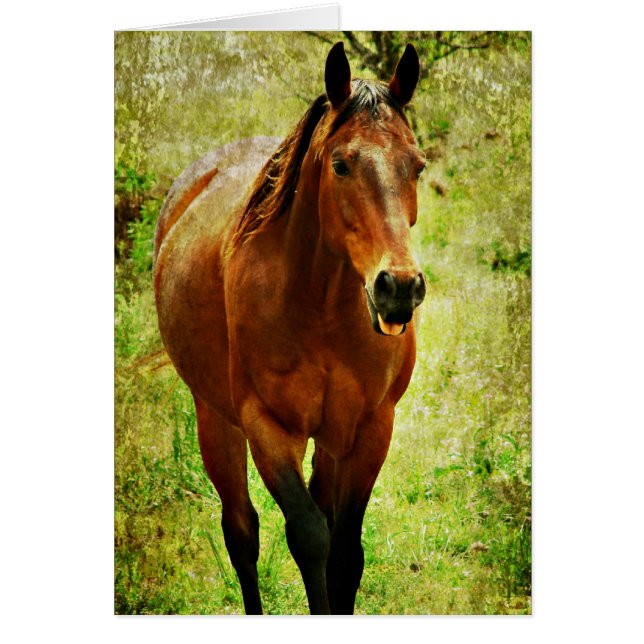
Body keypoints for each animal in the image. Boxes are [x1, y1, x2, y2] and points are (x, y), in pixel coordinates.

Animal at [153, 41, 427, 615]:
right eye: (341, 165)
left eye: (416, 166)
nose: (399, 287)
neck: (320, 306)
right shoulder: (268, 428)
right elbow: (309, 537)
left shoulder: (371, 428)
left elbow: (344, 551)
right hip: (215, 420)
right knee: (241, 533)